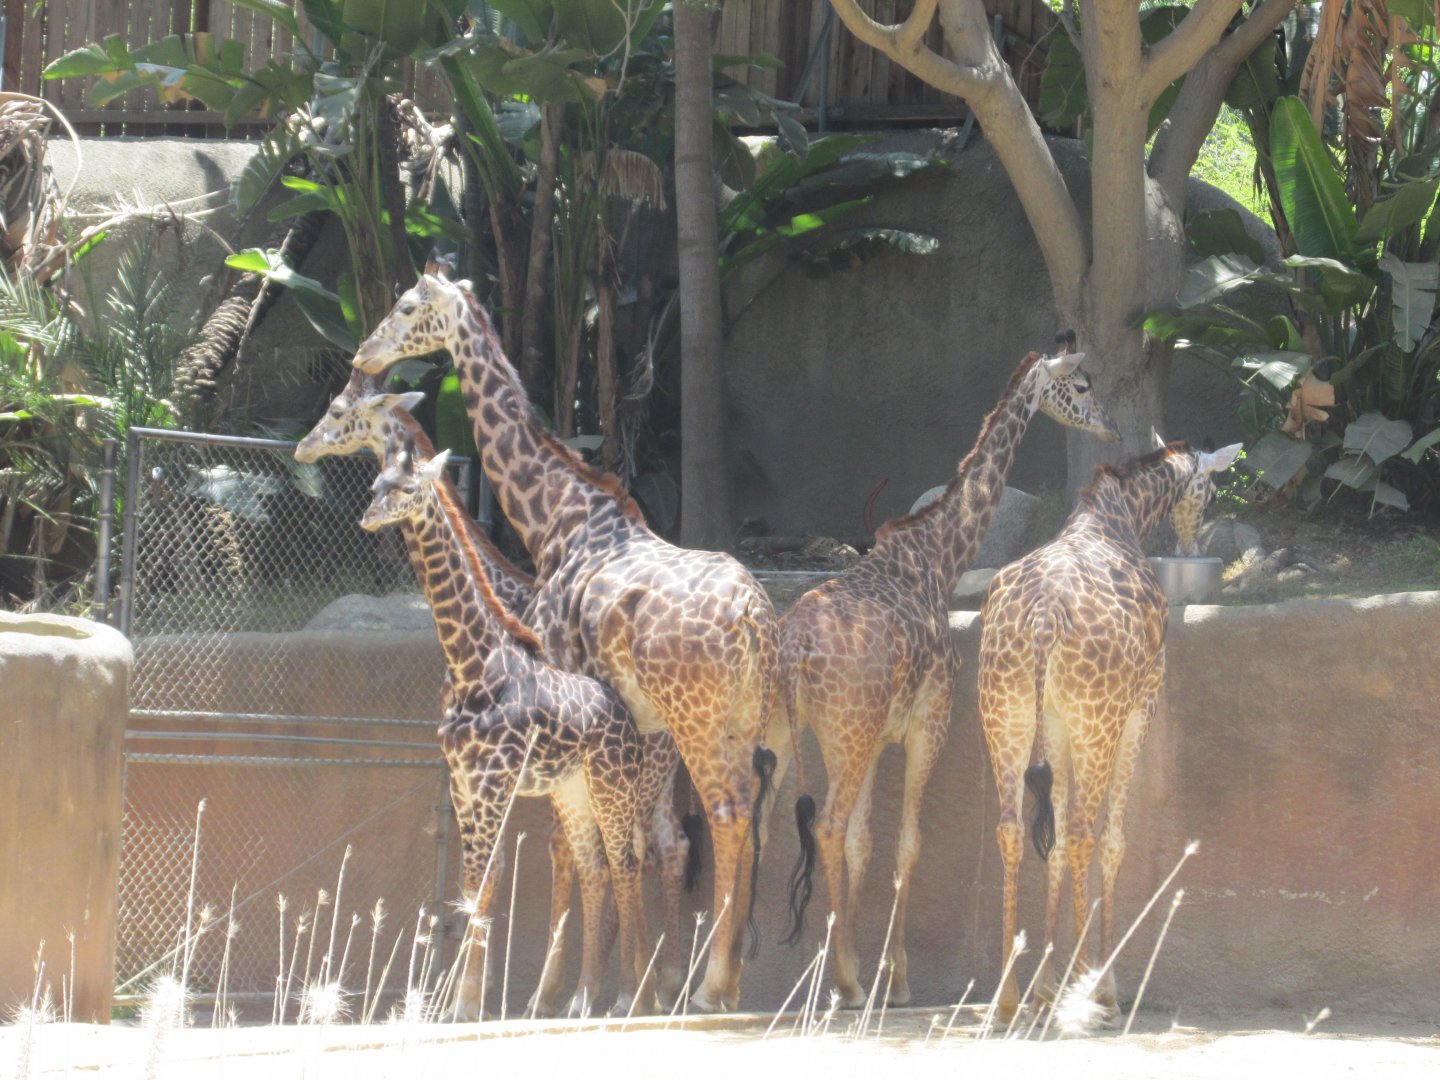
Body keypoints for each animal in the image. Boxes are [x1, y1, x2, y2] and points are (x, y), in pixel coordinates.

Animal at [296, 374, 691, 1015]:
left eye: (337, 411)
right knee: (624, 857)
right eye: (377, 484)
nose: (304, 447)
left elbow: (490, 882)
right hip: (587, 787)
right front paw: (457, 1000)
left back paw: (637, 993)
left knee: (633, 857)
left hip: (619, 783)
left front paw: (469, 1001)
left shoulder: (493, 782)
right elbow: (472, 887)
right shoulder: (462, 782)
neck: (472, 664)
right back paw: (635, 989)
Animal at [351, 274, 780, 1013]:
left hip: (695, 717)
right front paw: (611, 984)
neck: (556, 515)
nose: (365, 353)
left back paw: (708, 985)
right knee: (738, 815)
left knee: (722, 812)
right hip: (739, 716)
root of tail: (752, 612)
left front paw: (571, 991)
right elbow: (604, 846)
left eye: (406, 306)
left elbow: (572, 847)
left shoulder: (558, 679)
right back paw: (717, 981)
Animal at [778, 341, 1121, 1009]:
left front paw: (871, 966)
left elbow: (865, 845)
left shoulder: (880, 737)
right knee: (824, 825)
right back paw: (842, 982)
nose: (1112, 429)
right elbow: (906, 845)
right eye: (1083, 385)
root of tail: (798, 649)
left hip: (800, 734)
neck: (938, 556)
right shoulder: (928, 720)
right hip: (843, 732)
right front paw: (895, 978)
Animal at [978, 436, 1241, 1019]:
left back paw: (1007, 995)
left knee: (1012, 828)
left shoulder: (1056, 724)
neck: (1117, 517)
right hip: (1095, 719)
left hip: (1005, 712)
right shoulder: (1143, 704)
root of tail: (1043, 618)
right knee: (1081, 831)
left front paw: (1045, 988)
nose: (1190, 543)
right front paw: (1102, 986)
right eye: (1210, 489)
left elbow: (1050, 841)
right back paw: (1088, 991)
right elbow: (1115, 838)